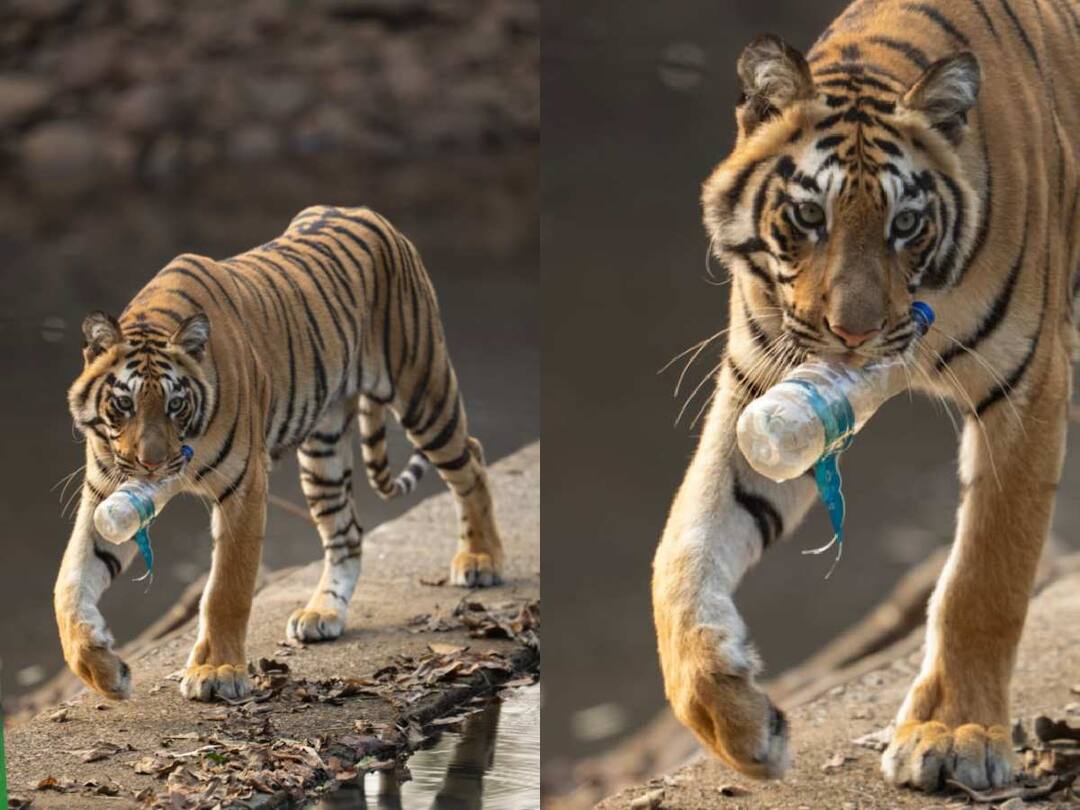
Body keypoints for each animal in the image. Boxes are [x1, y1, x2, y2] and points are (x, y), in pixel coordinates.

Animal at [55, 205, 504, 702]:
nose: (151, 465)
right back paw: (323, 614)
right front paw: (105, 672)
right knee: (347, 533)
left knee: (471, 461)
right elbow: (69, 586)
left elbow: (226, 589)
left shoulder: (244, 487)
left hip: (423, 390)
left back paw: (481, 561)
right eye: (124, 404)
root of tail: (363, 212)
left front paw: (218, 671)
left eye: (175, 405)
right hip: (324, 452)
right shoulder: (105, 495)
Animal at [652, 0, 1079, 794]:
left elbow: (985, 573)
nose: (853, 334)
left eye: (904, 223)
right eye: (807, 217)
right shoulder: (762, 392)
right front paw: (741, 728)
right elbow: (682, 555)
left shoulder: (1027, 387)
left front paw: (956, 732)